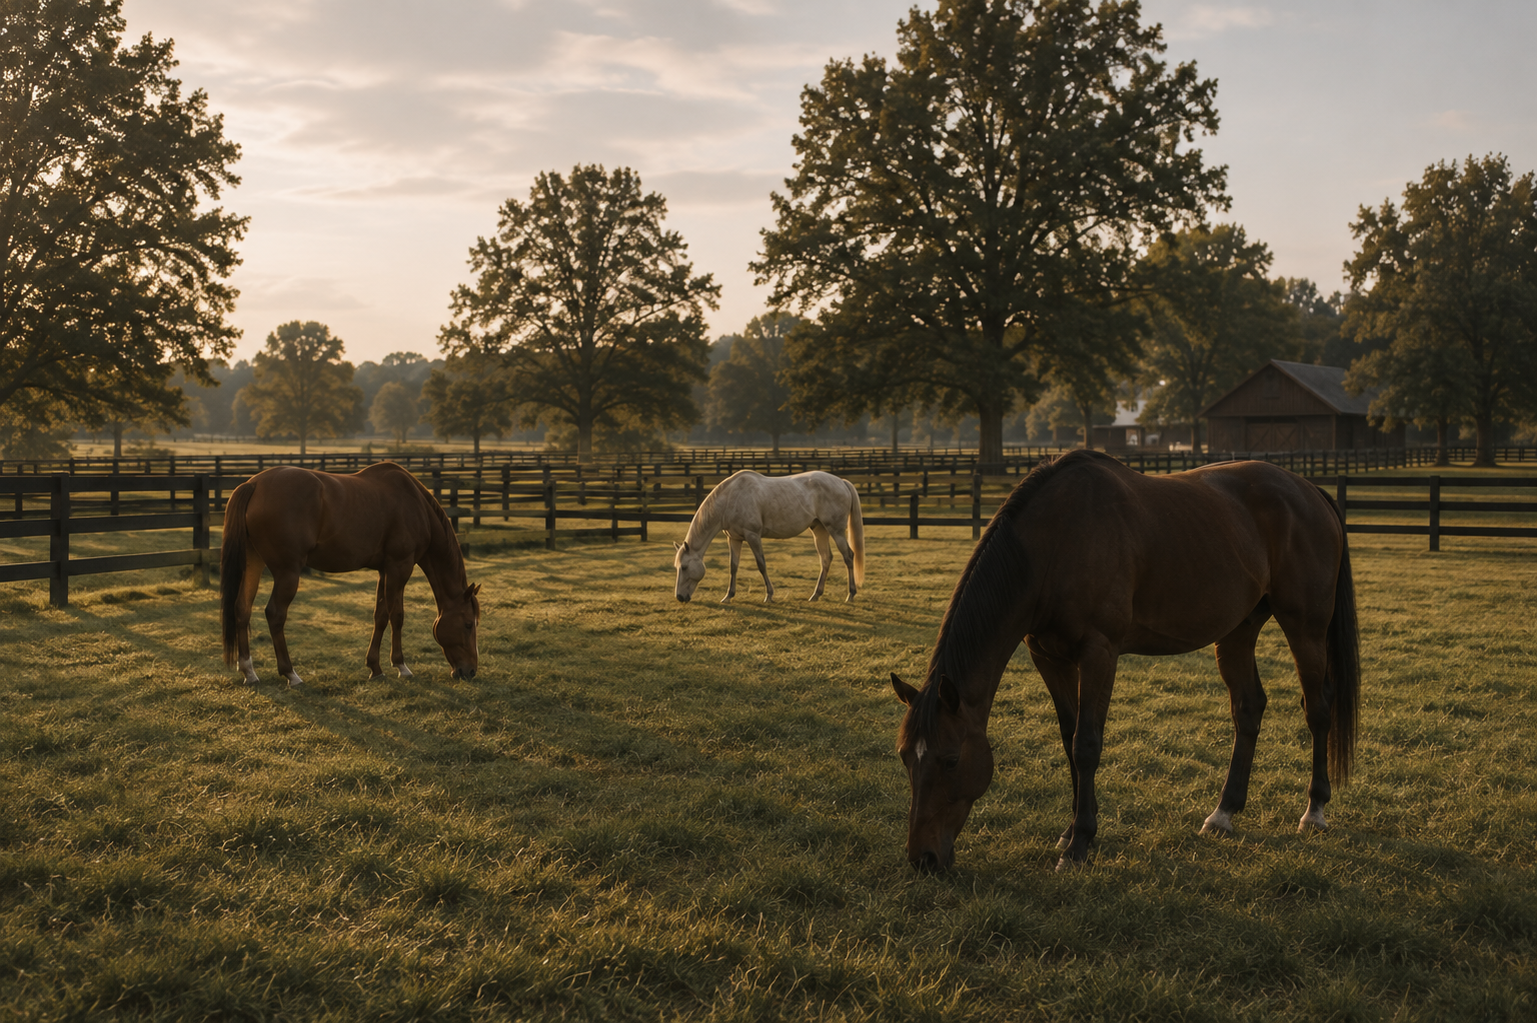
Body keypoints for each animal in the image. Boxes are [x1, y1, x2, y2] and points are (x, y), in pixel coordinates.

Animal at [220, 462, 481, 688]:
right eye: (468, 624)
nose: (470, 671)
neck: (415, 505)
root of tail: (253, 484)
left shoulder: (384, 570)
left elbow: (380, 616)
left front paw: (375, 668)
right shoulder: (400, 566)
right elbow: (397, 616)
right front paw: (401, 666)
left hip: (253, 561)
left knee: (242, 608)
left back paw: (249, 672)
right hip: (288, 572)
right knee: (275, 614)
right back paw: (291, 674)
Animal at [673, 470, 865, 603]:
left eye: (684, 567)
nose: (680, 597)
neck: (730, 498)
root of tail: (842, 482)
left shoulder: (752, 535)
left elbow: (761, 565)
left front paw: (769, 596)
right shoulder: (734, 538)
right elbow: (733, 566)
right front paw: (728, 596)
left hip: (836, 530)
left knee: (849, 556)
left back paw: (850, 594)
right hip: (819, 529)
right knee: (826, 558)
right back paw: (815, 595)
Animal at [891, 450, 1359, 872]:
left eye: (951, 760)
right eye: (905, 757)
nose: (922, 859)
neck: (1055, 541)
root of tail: (1310, 490)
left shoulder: (1099, 652)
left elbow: (1086, 744)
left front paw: (1078, 844)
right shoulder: (1049, 656)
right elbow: (1069, 737)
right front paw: (1072, 829)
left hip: (1305, 627)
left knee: (1318, 709)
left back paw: (1314, 810)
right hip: (1238, 630)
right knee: (1248, 708)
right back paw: (1223, 813)